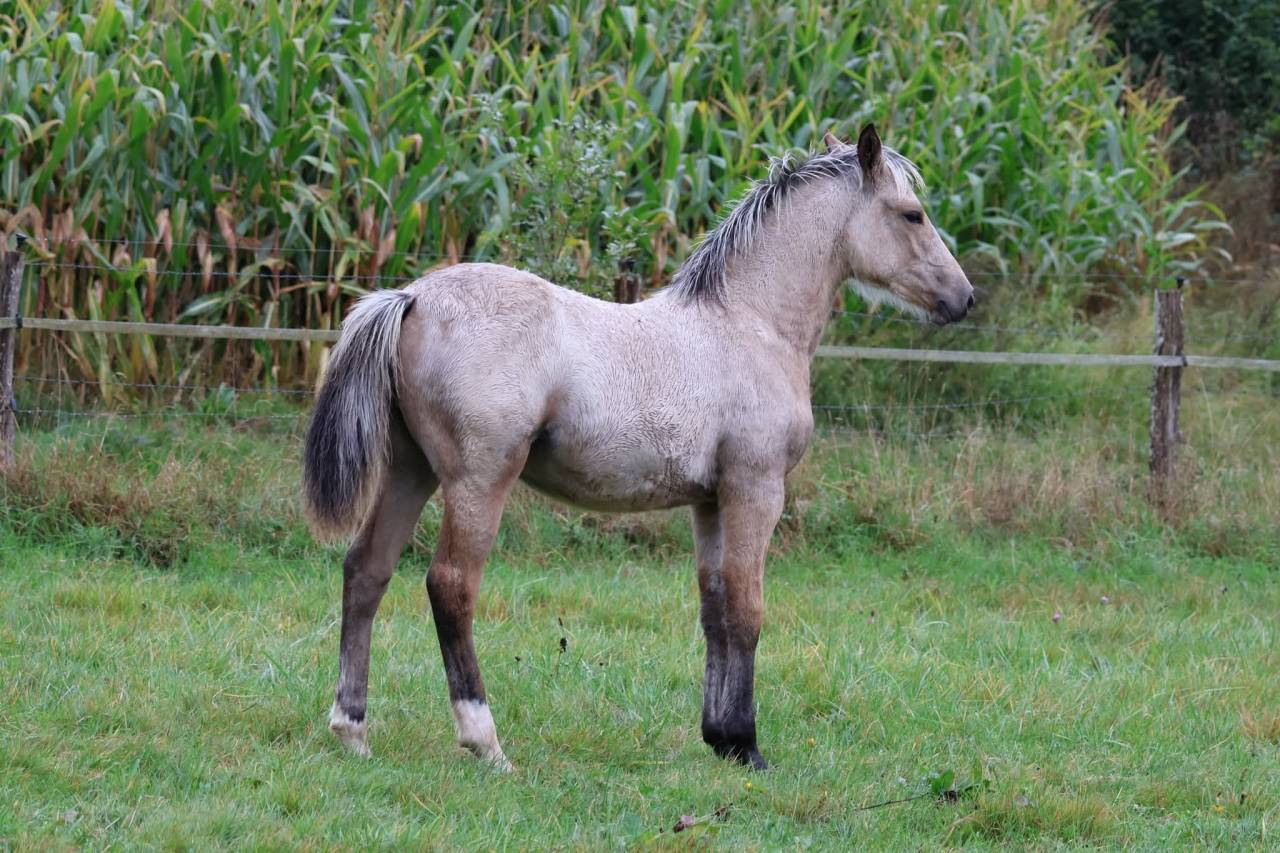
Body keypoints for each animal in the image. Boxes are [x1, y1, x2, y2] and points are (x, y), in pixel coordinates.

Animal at [302, 124, 974, 771]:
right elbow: (748, 610)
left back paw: (351, 730)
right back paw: (485, 742)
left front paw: (721, 738)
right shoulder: (756, 489)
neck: (748, 323)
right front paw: (750, 746)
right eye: (912, 214)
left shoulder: (710, 502)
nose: (963, 298)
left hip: (410, 470)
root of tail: (412, 296)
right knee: (451, 586)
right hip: (478, 479)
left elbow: (715, 609)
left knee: (367, 570)